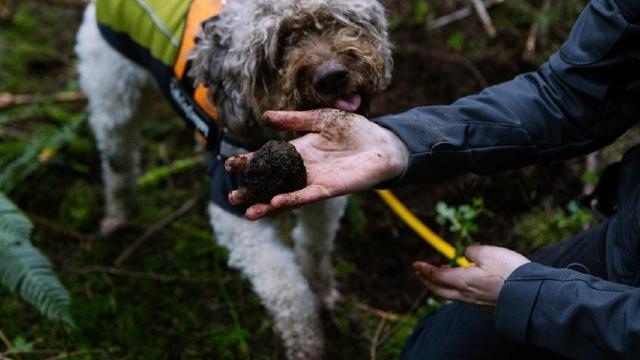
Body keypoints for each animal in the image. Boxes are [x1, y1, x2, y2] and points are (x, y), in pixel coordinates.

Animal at [77, 0, 392, 358]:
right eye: (280, 45)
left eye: (336, 20)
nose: (333, 76)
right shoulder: (236, 217)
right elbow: (286, 288)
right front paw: (306, 342)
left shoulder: (323, 201)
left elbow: (314, 249)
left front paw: (323, 292)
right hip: (113, 92)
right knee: (117, 162)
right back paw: (116, 216)